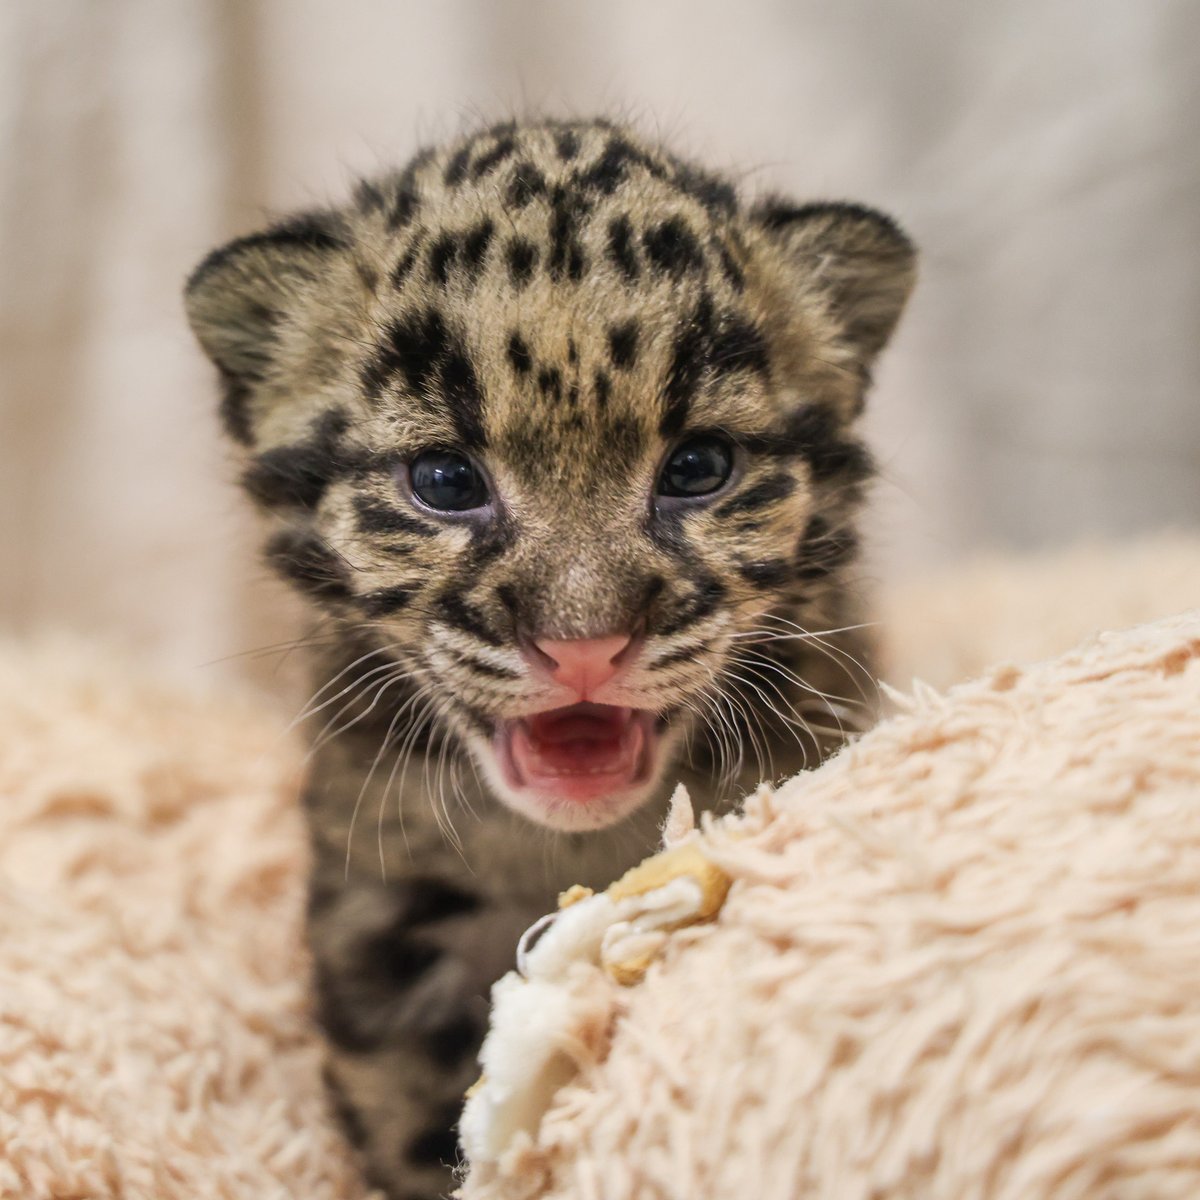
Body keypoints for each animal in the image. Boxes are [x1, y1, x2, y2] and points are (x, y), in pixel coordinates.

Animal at [185, 116, 915, 1199]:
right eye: (445, 481)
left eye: (698, 468)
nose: (584, 642)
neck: (571, 852)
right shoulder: (384, 906)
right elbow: (413, 1116)